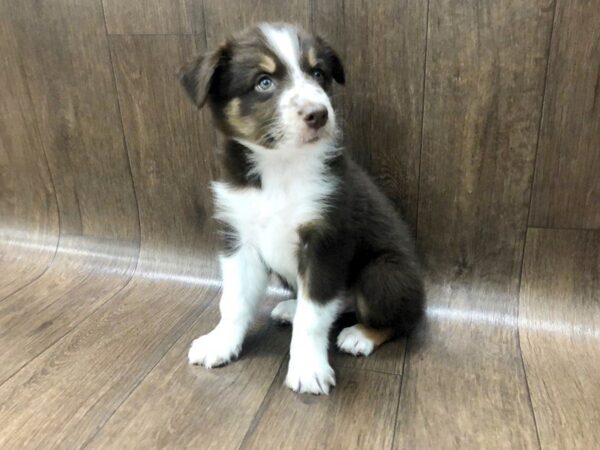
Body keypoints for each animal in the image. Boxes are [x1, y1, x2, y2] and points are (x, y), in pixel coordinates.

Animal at [180, 22, 424, 394]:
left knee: (403, 320)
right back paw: (291, 307)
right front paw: (220, 343)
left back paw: (361, 335)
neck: (280, 166)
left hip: (384, 274)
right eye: (264, 82)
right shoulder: (239, 237)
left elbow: (314, 318)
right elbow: (233, 301)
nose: (319, 114)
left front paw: (309, 368)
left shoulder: (325, 242)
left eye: (318, 74)